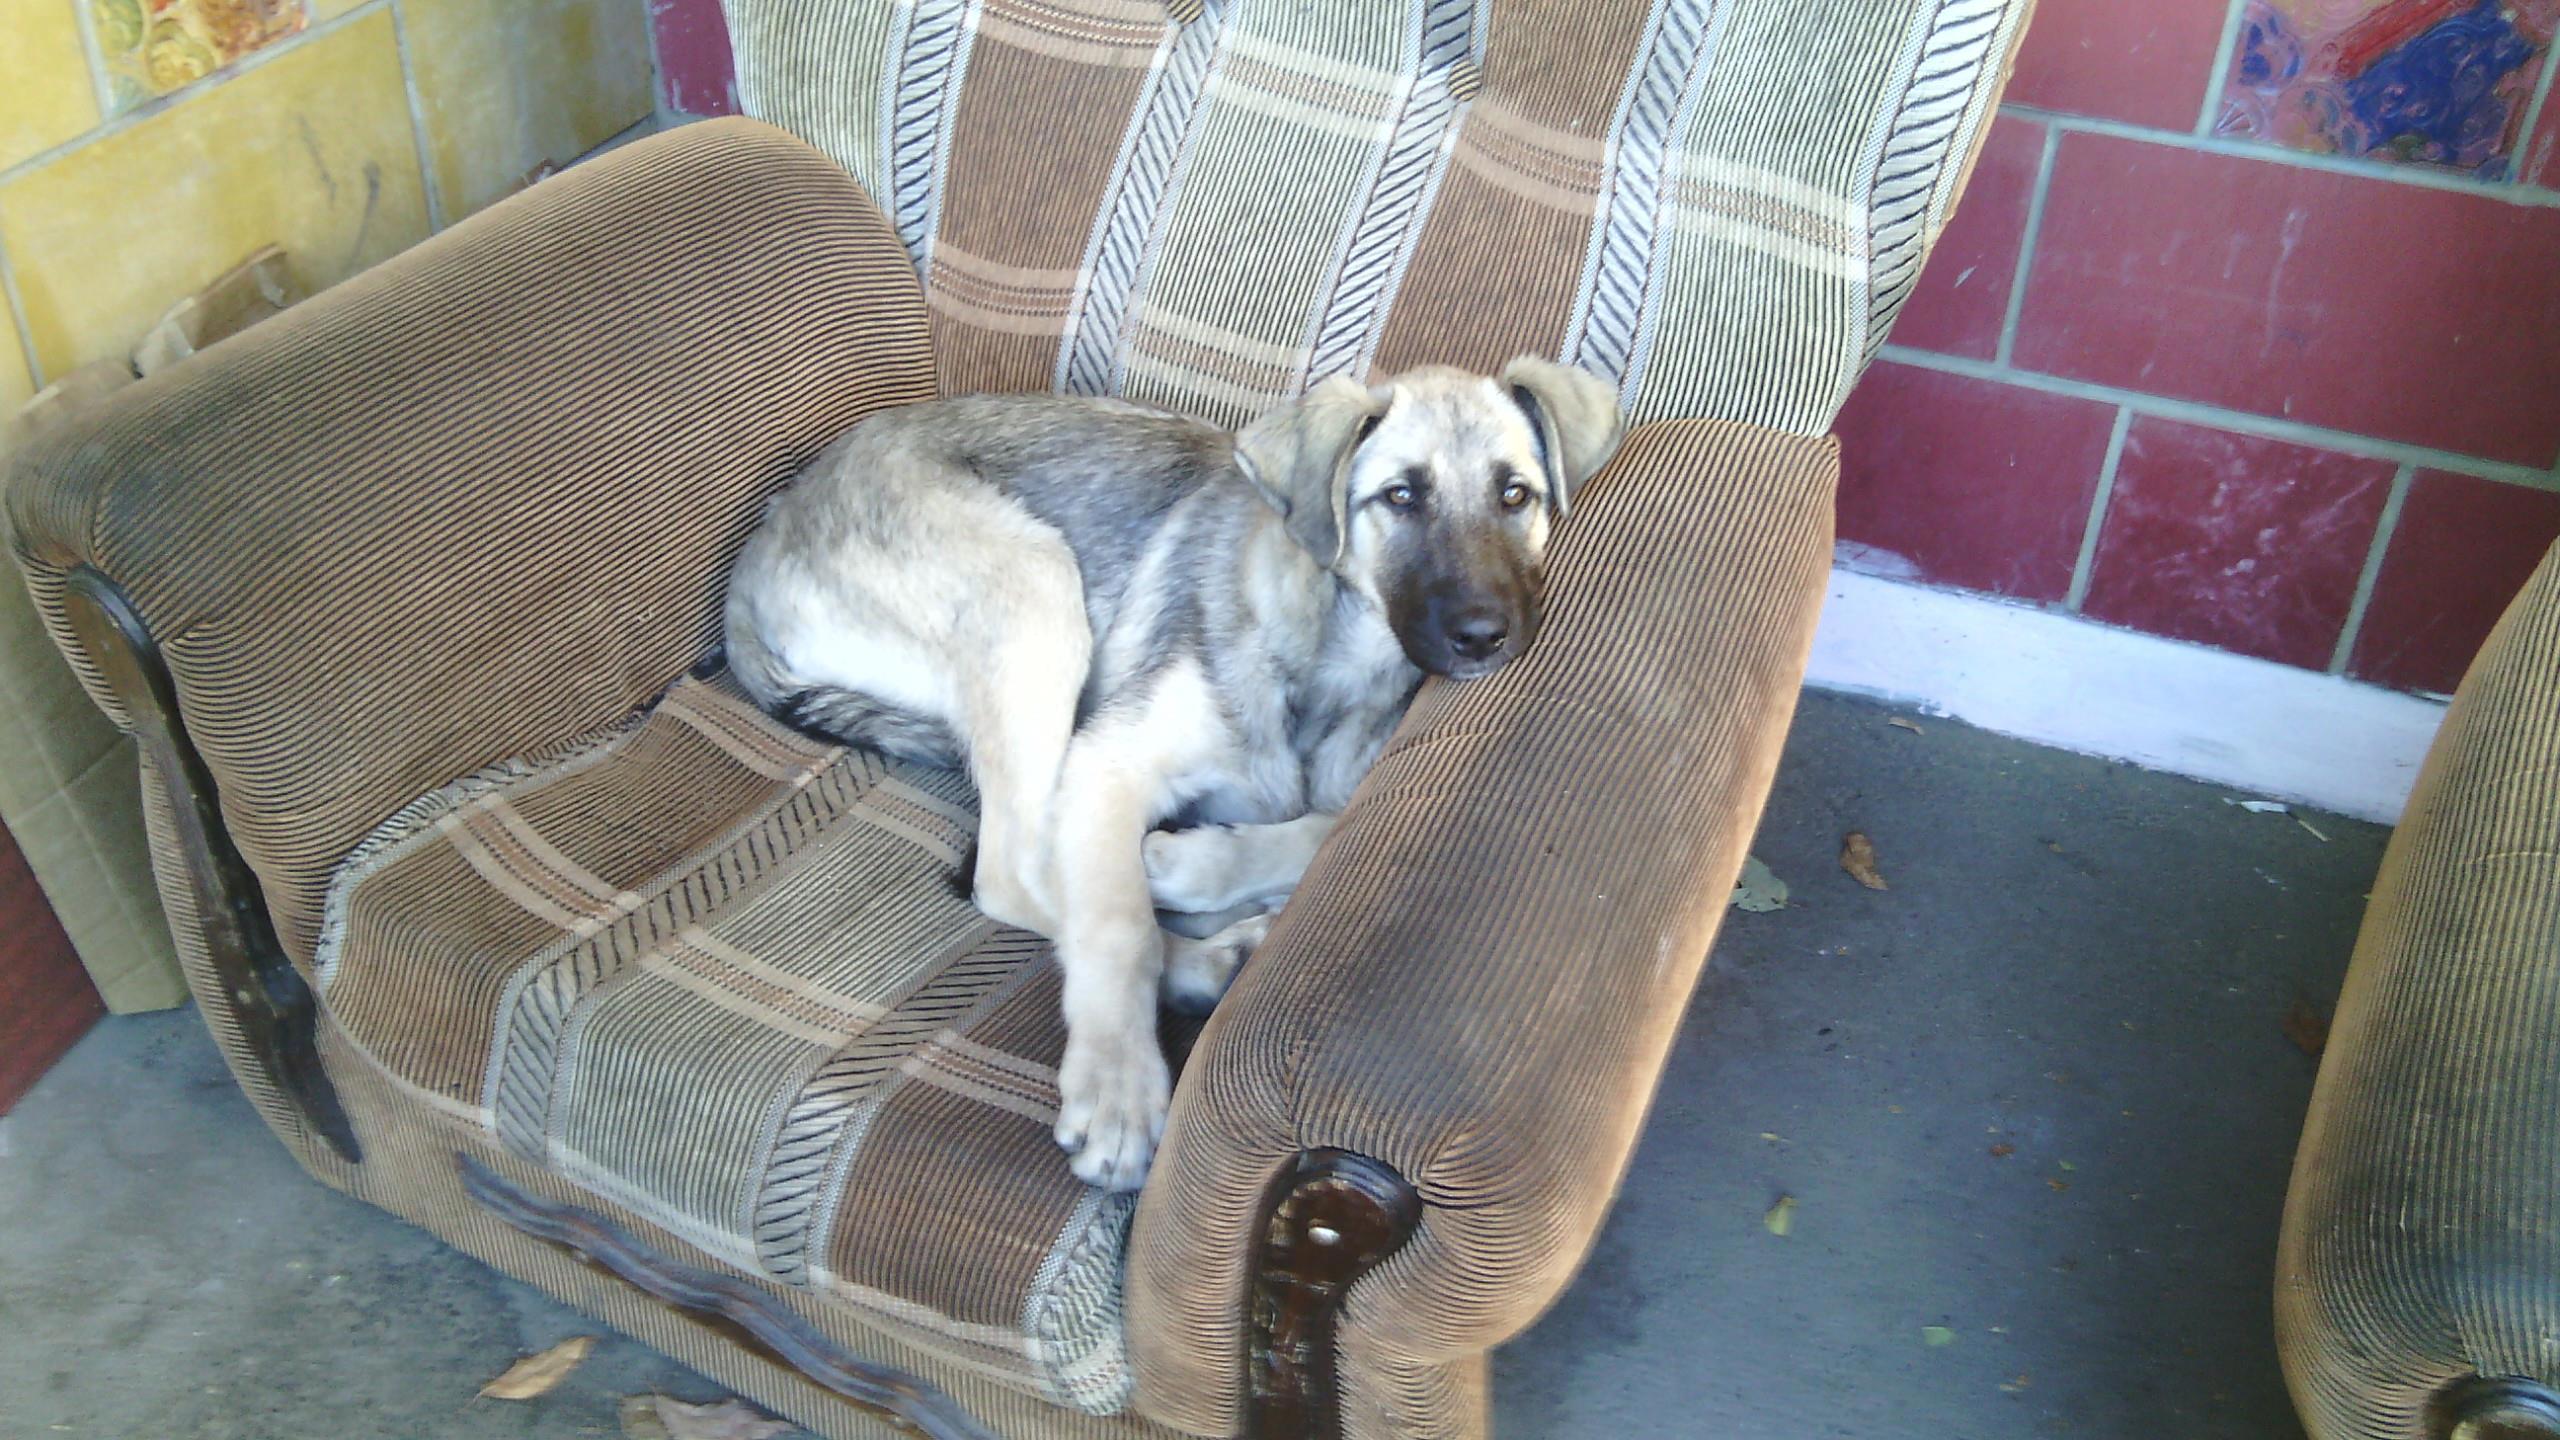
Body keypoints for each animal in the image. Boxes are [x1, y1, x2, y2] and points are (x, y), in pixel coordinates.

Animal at [723, 357, 1624, 1189]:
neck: (1327, 654)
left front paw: (1199, 864)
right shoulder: (1106, 760)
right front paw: (1120, 1084)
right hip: (1033, 584)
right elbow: (1117, 923)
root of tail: (762, 548)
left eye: (1516, 496)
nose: (1485, 634)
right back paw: (1199, 961)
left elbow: (1321, 825)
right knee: (1016, 875)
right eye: (1402, 496)